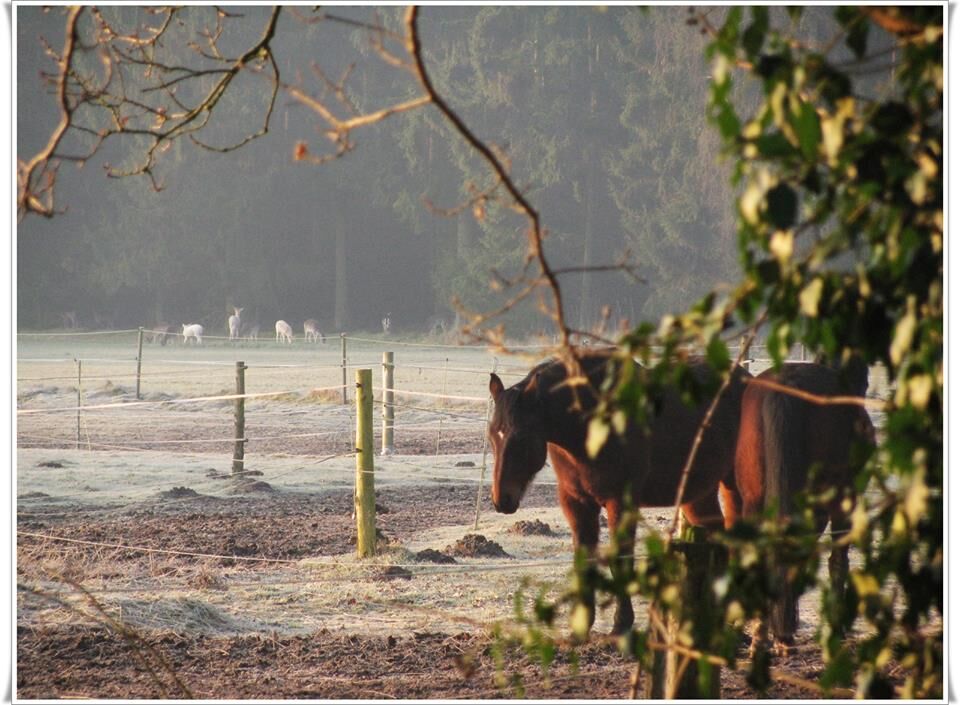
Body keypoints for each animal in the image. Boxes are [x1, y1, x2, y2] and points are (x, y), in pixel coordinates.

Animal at [488, 350, 748, 634]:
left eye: (521, 438)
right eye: (492, 436)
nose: (502, 500)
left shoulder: (620, 503)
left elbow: (621, 561)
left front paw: (621, 624)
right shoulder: (576, 503)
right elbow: (584, 558)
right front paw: (582, 623)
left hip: (733, 486)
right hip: (698, 494)